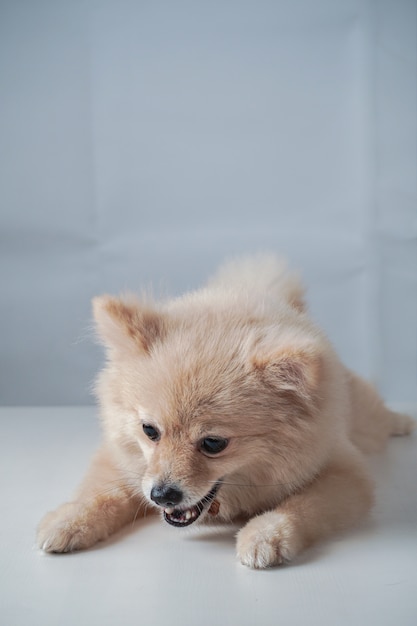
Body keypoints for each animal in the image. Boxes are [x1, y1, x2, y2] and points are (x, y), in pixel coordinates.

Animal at [37, 254, 414, 564]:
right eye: (149, 431)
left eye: (213, 444)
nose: (162, 495)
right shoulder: (121, 460)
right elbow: (103, 492)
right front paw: (68, 520)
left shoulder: (344, 473)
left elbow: (302, 505)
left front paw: (266, 534)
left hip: (365, 417)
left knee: (380, 418)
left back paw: (404, 421)